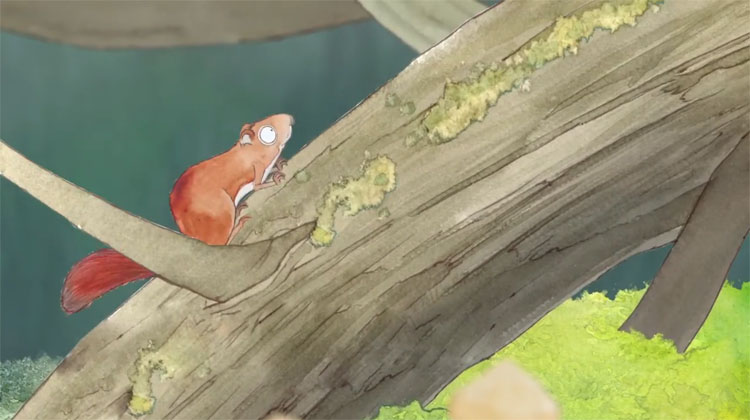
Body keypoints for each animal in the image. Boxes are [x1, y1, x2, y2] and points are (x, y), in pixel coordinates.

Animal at [60, 114, 295, 314]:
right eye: (268, 132)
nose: (290, 119)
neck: (245, 152)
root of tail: (193, 235)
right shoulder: (255, 170)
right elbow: (259, 184)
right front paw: (274, 177)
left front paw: (280, 163)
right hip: (223, 211)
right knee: (222, 242)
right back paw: (237, 222)